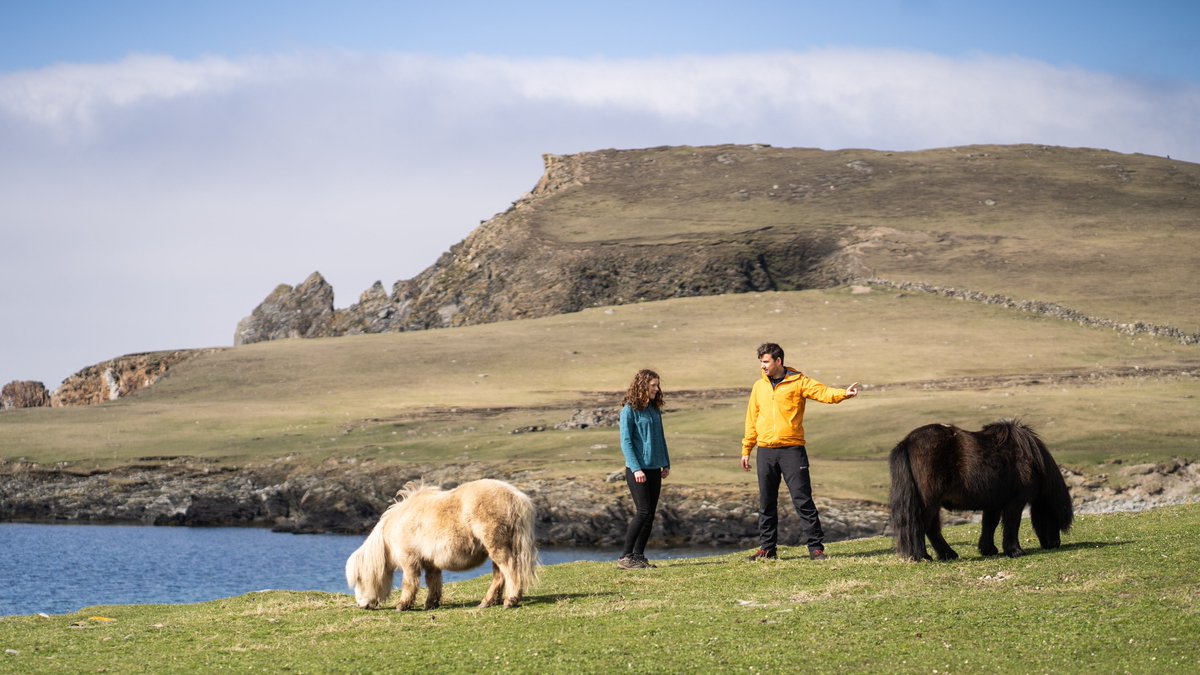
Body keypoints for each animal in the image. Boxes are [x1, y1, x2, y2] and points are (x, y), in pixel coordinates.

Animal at [345, 475, 537, 607]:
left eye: (359, 579)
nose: (360, 605)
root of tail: (516, 496)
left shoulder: (409, 559)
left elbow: (409, 581)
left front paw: (403, 605)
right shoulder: (431, 562)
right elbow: (433, 582)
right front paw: (431, 604)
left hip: (497, 545)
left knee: (509, 569)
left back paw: (510, 600)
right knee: (499, 575)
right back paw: (487, 602)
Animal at [888, 420, 1075, 557]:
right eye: (1053, 515)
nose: (1054, 544)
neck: (1032, 462)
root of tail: (907, 442)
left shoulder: (994, 503)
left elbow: (989, 524)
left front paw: (988, 550)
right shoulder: (1015, 501)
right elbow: (1012, 523)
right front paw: (1015, 550)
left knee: (931, 528)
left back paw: (947, 554)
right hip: (930, 502)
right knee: (924, 526)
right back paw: (923, 556)